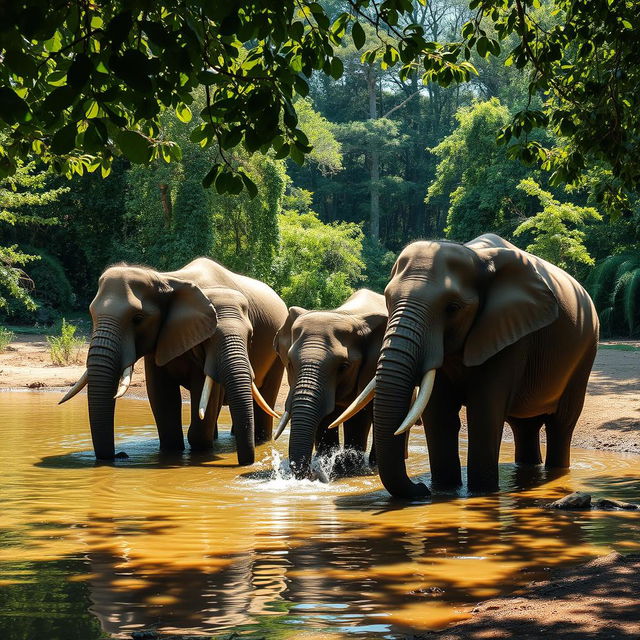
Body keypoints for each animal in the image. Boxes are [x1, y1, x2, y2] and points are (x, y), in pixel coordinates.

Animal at [60, 258, 288, 464]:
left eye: (138, 319)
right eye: (91, 315)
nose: (121, 455)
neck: (167, 280)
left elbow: (203, 395)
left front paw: (199, 452)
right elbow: (161, 396)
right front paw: (171, 453)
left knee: (265, 396)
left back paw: (260, 440)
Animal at [272, 288, 388, 476]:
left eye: (344, 366)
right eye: (290, 363)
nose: (312, 474)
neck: (346, 313)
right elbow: (326, 417)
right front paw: (329, 464)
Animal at [364, 232, 600, 498]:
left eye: (452, 308)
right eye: (388, 300)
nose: (421, 488)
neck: (474, 254)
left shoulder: (510, 333)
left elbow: (484, 411)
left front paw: (481, 493)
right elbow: (439, 414)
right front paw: (444, 490)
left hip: (586, 351)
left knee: (561, 424)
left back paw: (556, 472)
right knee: (525, 427)